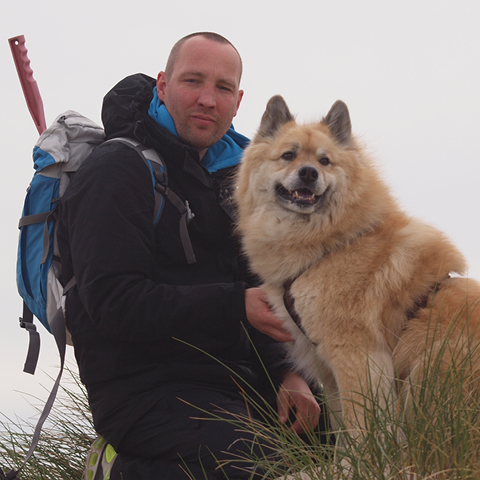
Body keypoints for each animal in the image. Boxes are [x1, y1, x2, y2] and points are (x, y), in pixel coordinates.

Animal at [234, 95, 480, 440]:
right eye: (288, 155)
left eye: (325, 161)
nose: (308, 173)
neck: (330, 244)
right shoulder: (329, 369)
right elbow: (342, 432)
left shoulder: (355, 355)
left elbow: (360, 430)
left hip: (432, 365)